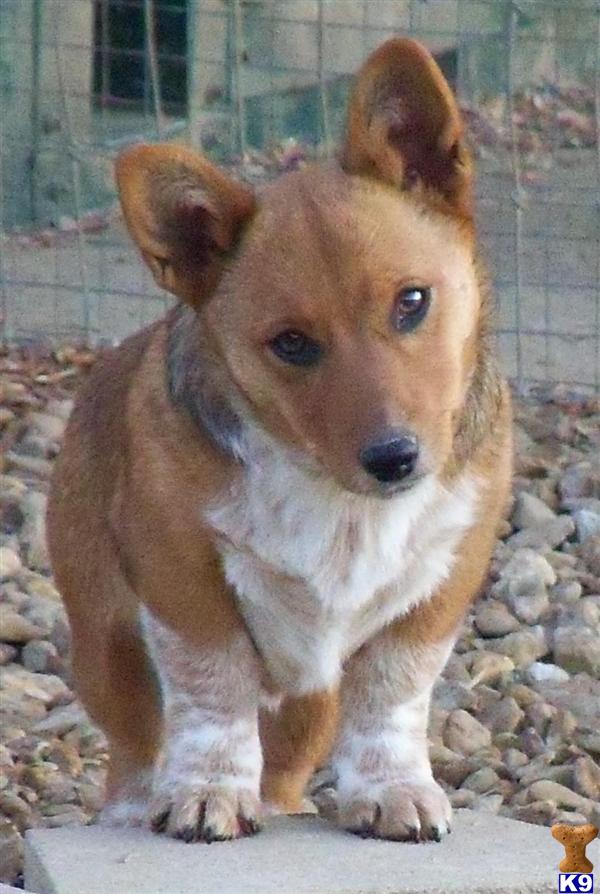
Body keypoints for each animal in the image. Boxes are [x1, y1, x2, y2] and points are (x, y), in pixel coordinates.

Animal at [47, 36, 510, 848]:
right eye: (291, 344)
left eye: (412, 301)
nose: (395, 458)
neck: (336, 496)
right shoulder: (181, 575)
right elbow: (212, 691)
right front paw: (207, 791)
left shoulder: (445, 578)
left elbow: (392, 695)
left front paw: (392, 790)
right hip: (106, 639)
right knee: (135, 742)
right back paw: (135, 806)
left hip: (309, 695)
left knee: (294, 754)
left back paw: (288, 804)